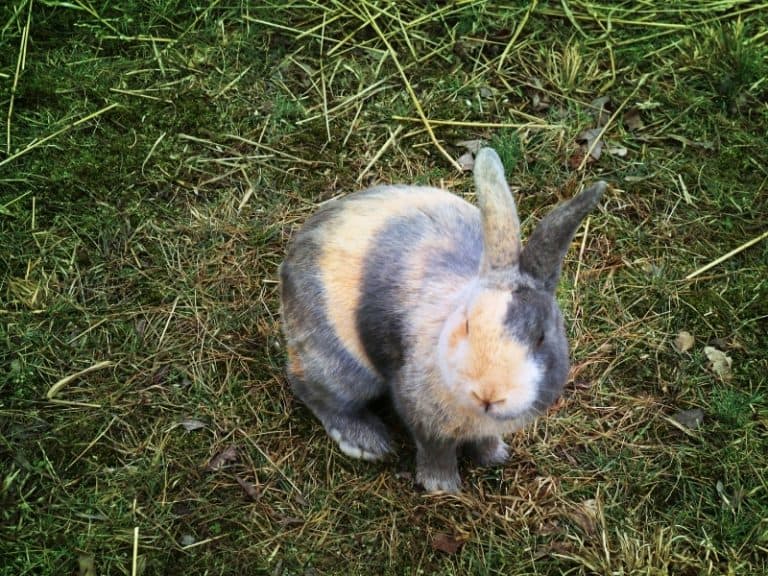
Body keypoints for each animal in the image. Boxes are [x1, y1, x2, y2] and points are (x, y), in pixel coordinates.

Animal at [279, 147, 605, 493]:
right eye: (467, 324)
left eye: (541, 337)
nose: (489, 393)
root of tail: (292, 257)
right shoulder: (421, 412)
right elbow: (435, 450)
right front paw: (442, 487)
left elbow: (485, 439)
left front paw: (494, 456)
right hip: (340, 364)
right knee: (313, 389)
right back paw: (367, 442)